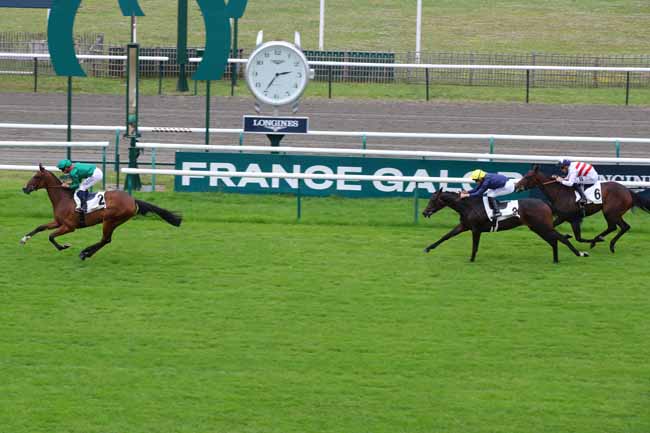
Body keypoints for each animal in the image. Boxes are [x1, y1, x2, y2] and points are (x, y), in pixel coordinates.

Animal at [20, 165, 182, 260]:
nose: (25, 188)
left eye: (36, 176)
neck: (64, 199)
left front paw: (63, 246)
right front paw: (24, 239)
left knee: (105, 239)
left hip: (109, 220)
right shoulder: (58, 222)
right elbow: (41, 227)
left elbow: (51, 236)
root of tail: (133, 200)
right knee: (106, 240)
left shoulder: (69, 227)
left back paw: (85, 253)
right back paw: (86, 253)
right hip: (114, 221)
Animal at [420, 190, 588, 262]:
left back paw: (580, 253)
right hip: (537, 227)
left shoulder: (475, 229)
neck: (469, 206)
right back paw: (555, 259)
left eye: (433, 200)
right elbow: (446, 236)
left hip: (542, 226)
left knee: (560, 238)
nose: (424, 212)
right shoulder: (464, 226)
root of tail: (545, 203)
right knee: (554, 240)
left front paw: (471, 259)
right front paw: (428, 248)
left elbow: (474, 246)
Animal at [512, 165, 648, 253]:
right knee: (616, 227)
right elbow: (575, 236)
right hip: (612, 213)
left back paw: (606, 243)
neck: (559, 192)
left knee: (620, 227)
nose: (516, 186)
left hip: (611, 212)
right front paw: (567, 236)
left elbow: (577, 237)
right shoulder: (571, 219)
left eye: (528, 176)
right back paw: (601, 240)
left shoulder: (567, 217)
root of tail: (628, 191)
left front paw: (568, 237)